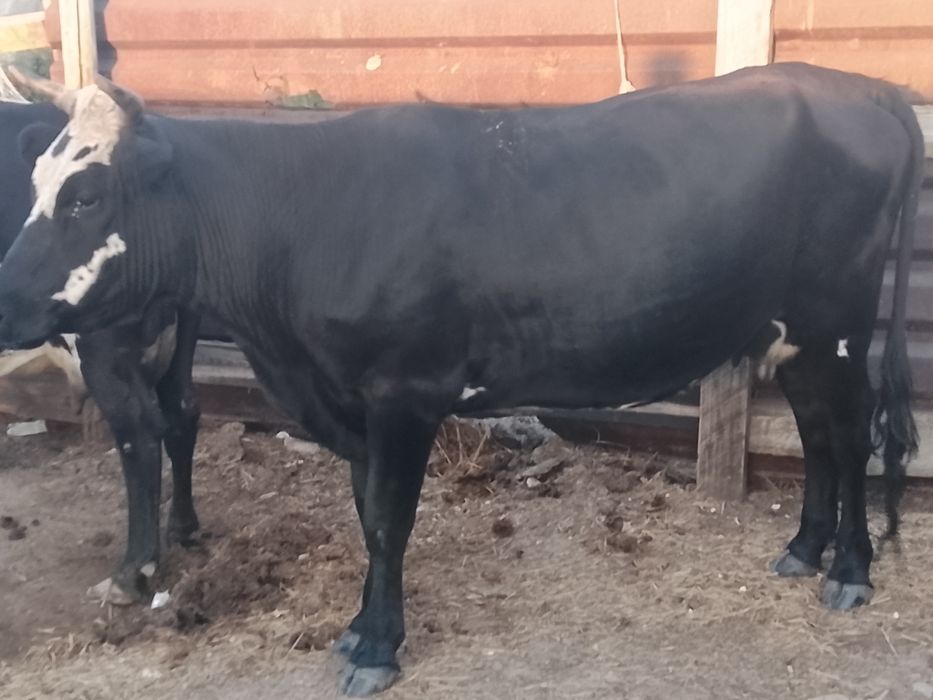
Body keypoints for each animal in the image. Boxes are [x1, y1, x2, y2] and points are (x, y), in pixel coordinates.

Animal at [0, 99, 206, 604]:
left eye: (83, 199)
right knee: (182, 410)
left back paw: (133, 571)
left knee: (140, 432)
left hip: (102, 346)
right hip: (181, 335)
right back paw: (183, 528)